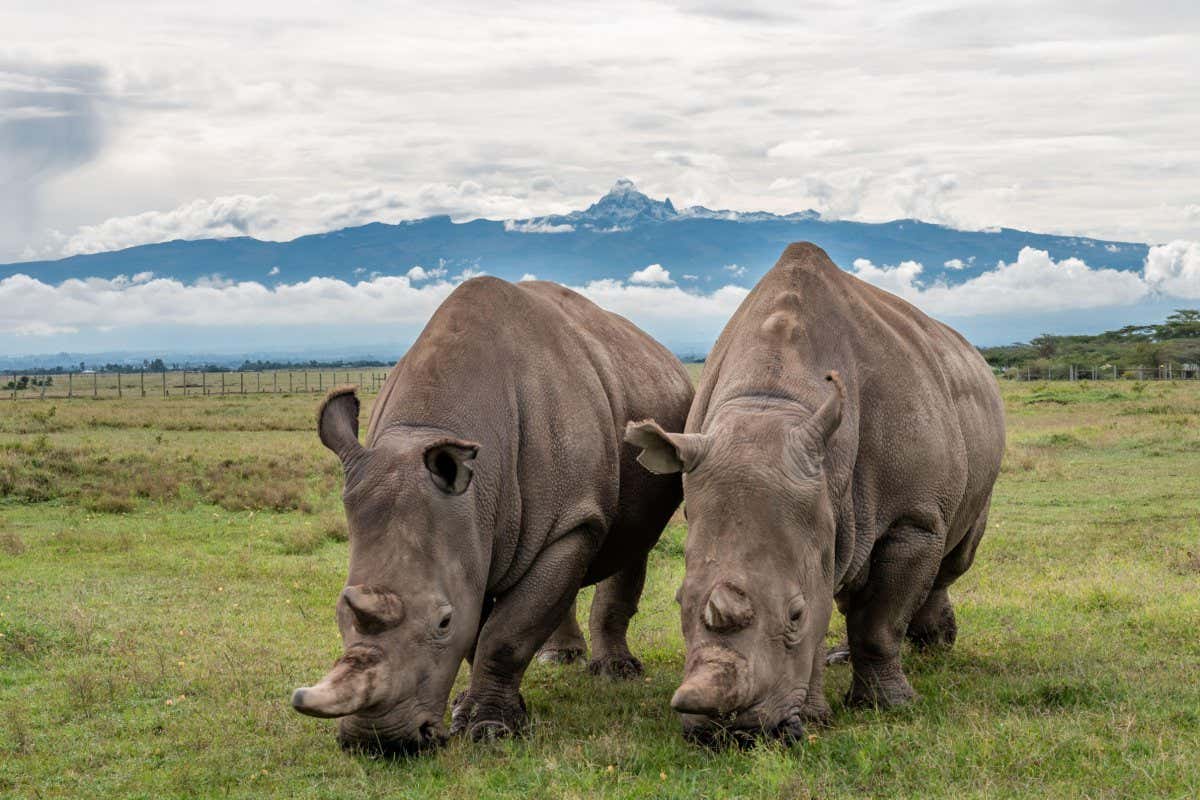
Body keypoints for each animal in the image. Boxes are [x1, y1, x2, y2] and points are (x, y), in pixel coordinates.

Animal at [291, 277, 693, 755]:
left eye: (442, 622)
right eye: (339, 612)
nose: (379, 741)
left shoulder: (570, 520)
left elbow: (505, 632)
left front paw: (490, 730)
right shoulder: (468, 531)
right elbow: (482, 627)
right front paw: (472, 710)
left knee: (631, 544)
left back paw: (616, 673)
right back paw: (559, 659)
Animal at [626, 242, 1004, 744]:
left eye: (795, 615)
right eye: (679, 603)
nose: (729, 733)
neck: (772, 402)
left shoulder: (913, 518)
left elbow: (878, 623)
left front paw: (890, 705)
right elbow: (828, 597)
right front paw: (816, 715)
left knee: (952, 558)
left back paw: (933, 647)